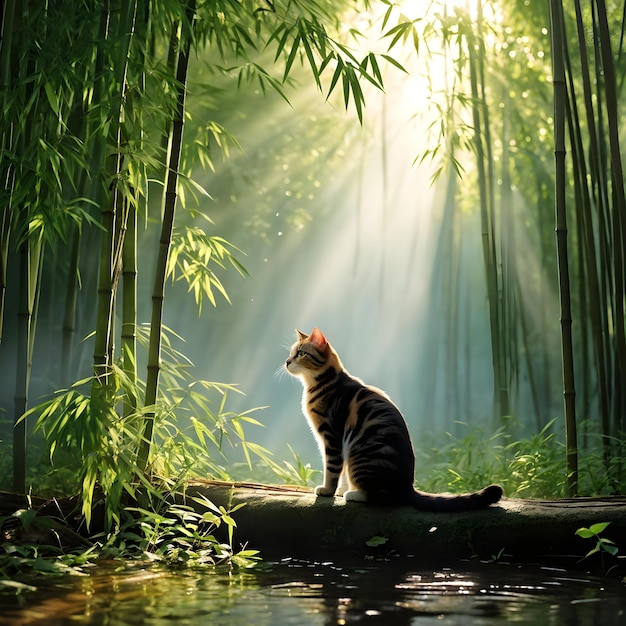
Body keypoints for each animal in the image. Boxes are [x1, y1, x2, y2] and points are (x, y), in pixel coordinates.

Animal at [284, 326, 502, 512]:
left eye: (301, 353)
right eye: (290, 353)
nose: (286, 361)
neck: (321, 383)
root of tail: (407, 487)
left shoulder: (332, 436)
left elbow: (332, 468)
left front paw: (328, 491)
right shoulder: (336, 443)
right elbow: (342, 471)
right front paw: (338, 490)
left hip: (361, 454)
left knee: (384, 497)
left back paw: (354, 494)